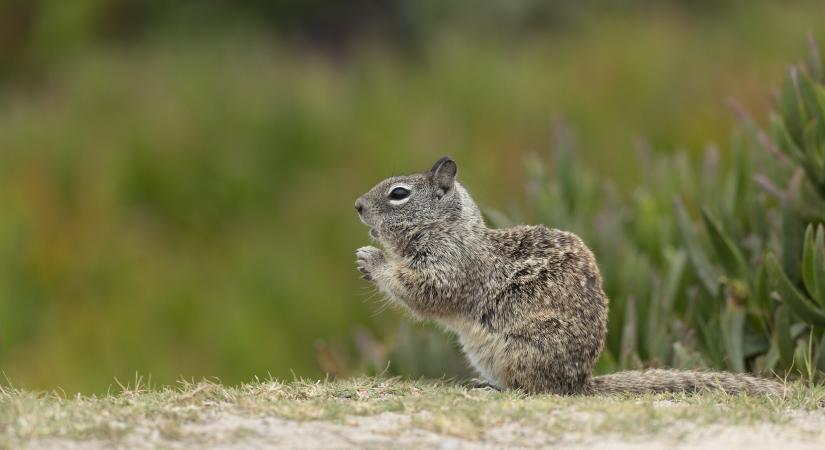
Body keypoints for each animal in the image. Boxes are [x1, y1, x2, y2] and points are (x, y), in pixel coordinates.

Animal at [350, 156, 784, 396]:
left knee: (533, 389)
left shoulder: (448, 267)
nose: (356, 206)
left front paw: (371, 259)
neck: (448, 228)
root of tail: (579, 381)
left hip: (521, 351)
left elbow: (422, 291)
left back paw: (493, 388)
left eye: (399, 194)